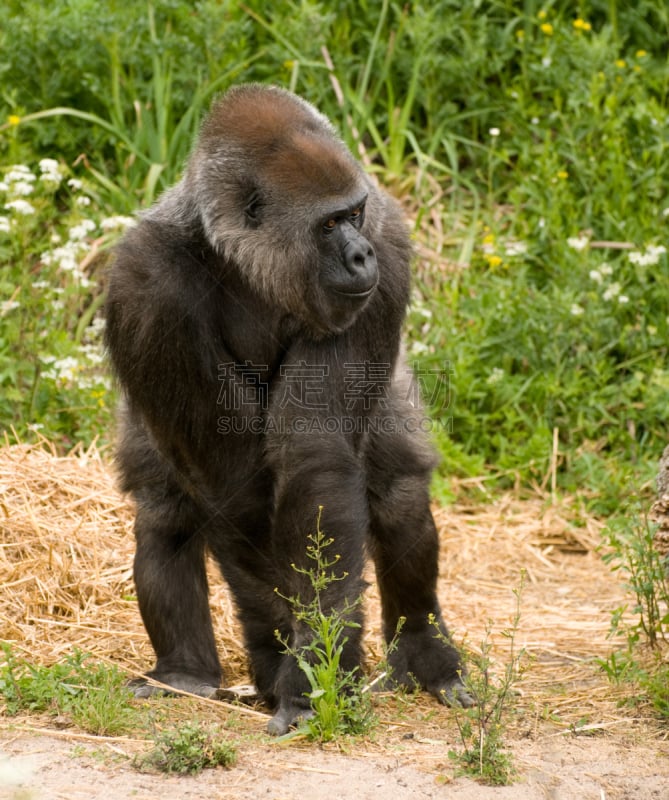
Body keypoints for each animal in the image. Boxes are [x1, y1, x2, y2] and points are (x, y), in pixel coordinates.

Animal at [105, 84, 470, 736]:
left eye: (354, 215)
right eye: (328, 224)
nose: (360, 255)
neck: (236, 258)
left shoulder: (388, 238)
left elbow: (313, 458)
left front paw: (312, 666)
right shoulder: (142, 288)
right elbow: (231, 483)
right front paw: (287, 658)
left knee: (399, 492)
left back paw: (424, 653)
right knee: (167, 511)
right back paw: (186, 672)